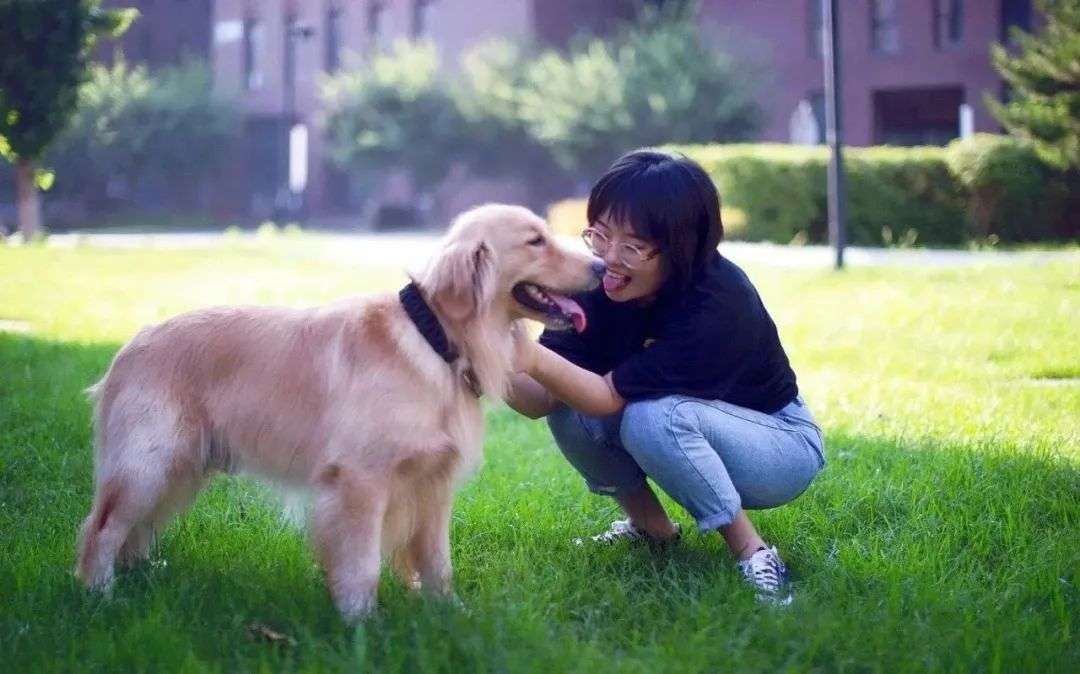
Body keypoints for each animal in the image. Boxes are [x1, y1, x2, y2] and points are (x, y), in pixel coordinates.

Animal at [76, 203, 604, 617]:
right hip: (148, 464)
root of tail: (129, 346)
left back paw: (142, 576)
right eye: (536, 240)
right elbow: (362, 564)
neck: (434, 339)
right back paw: (100, 595)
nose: (601, 267)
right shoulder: (359, 480)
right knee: (100, 529)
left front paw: (448, 613)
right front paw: (359, 623)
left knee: (135, 531)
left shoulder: (433, 483)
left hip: (181, 470)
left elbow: (438, 561)